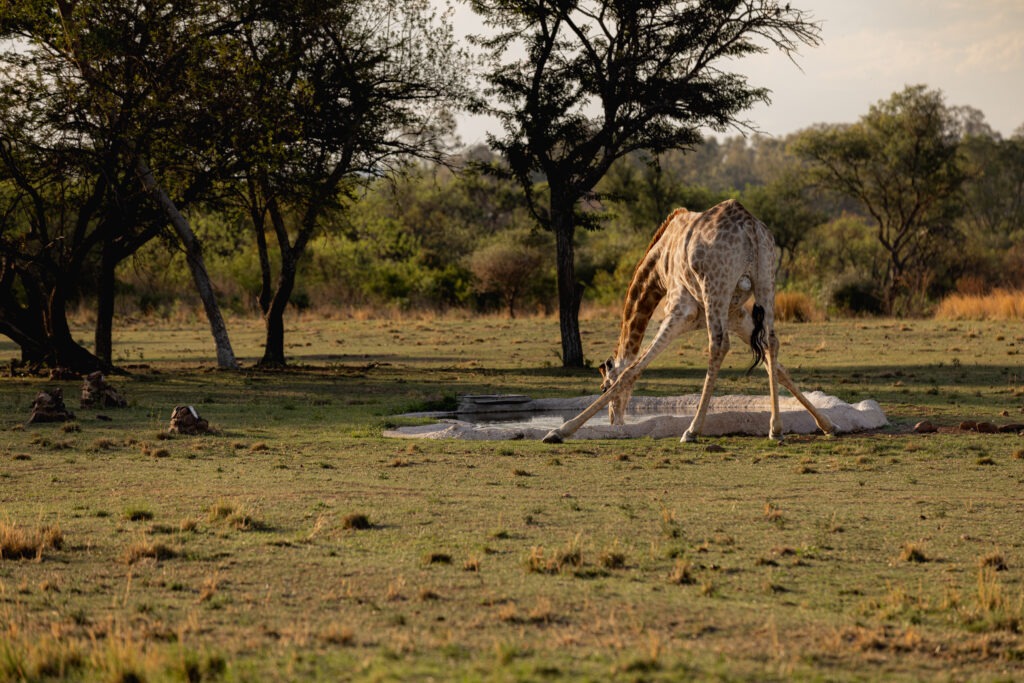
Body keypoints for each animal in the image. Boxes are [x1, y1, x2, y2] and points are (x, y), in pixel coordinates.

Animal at [542, 199, 834, 444]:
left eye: (604, 386)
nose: (616, 421)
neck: (659, 265)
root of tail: (750, 228)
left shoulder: (680, 310)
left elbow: (633, 369)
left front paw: (559, 431)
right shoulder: (736, 314)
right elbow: (780, 369)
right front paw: (826, 424)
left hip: (715, 287)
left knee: (718, 345)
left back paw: (692, 430)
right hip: (766, 280)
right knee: (771, 342)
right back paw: (775, 429)